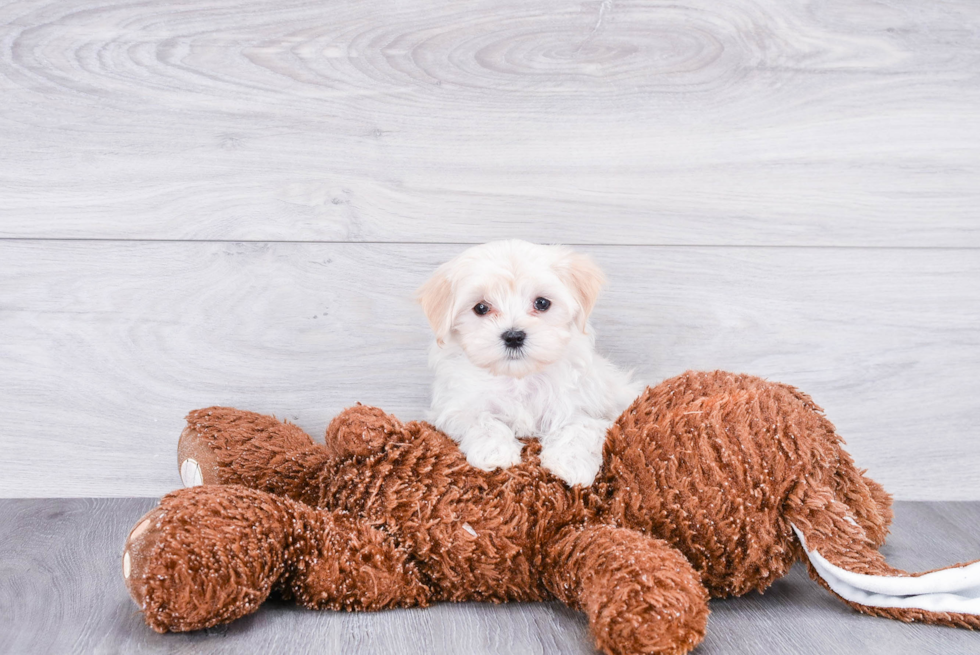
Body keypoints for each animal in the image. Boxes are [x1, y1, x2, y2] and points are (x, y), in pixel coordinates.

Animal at [414, 241, 644, 486]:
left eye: (542, 303)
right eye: (481, 308)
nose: (514, 336)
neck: (520, 378)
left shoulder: (589, 407)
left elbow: (579, 426)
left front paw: (570, 463)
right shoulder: (455, 406)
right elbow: (480, 419)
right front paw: (495, 452)